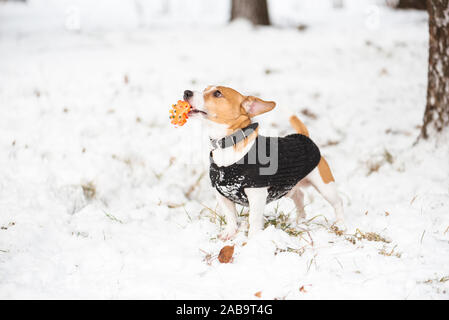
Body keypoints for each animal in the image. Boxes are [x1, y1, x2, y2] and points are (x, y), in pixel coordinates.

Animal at [182, 86, 344, 239]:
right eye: (204, 89)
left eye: (217, 93)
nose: (186, 92)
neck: (228, 145)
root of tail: (304, 136)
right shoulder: (222, 194)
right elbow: (231, 217)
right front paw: (230, 233)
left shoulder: (257, 196)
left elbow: (253, 220)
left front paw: (253, 239)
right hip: (287, 187)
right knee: (299, 195)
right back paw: (300, 220)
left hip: (325, 186)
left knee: (337, 203)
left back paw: (340, 223)